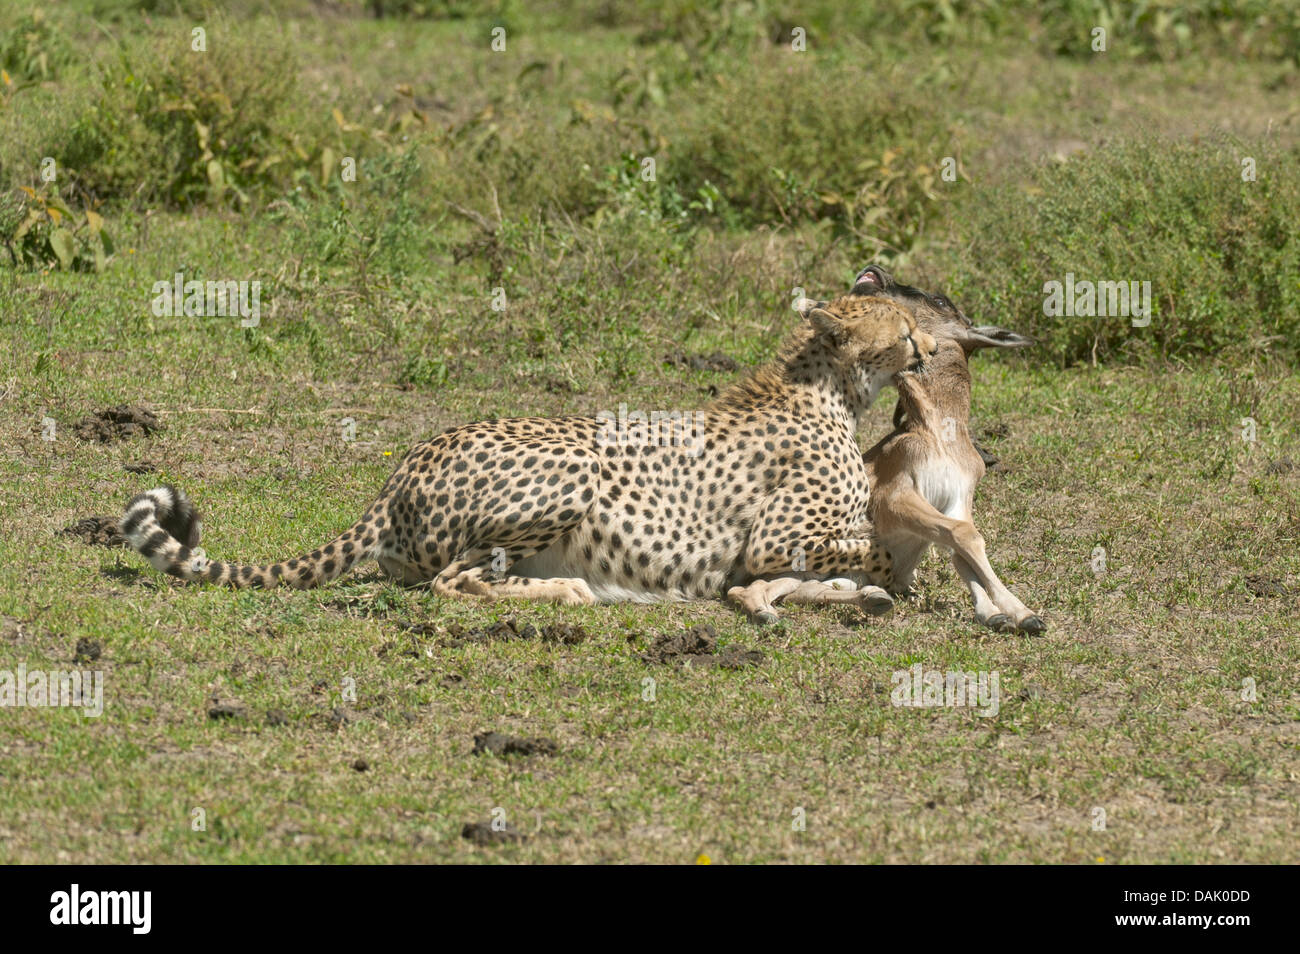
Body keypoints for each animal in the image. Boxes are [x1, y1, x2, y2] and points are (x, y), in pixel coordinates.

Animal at [122, 298, 935, 613]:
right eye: (902, 329)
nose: (930, 347)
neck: (831, 389)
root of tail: (400, 470)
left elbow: (858, 549)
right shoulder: (772, 540)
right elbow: (871, 550)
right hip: (574, 468)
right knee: (451, 581)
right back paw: (568, 589)